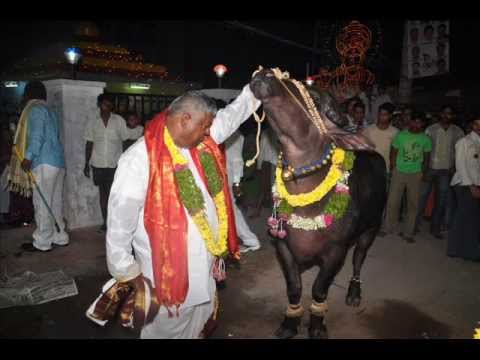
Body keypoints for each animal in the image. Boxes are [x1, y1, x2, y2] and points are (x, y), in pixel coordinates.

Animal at [249, 69, 388, 338]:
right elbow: (294, 288)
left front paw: (316, 325)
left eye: (312, 96)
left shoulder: (335, 252)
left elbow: (319, 290)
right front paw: (289, 323)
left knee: (359, 259)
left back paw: (354, 293)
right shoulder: (283, 246)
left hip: (371, 228)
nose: (266, 74)